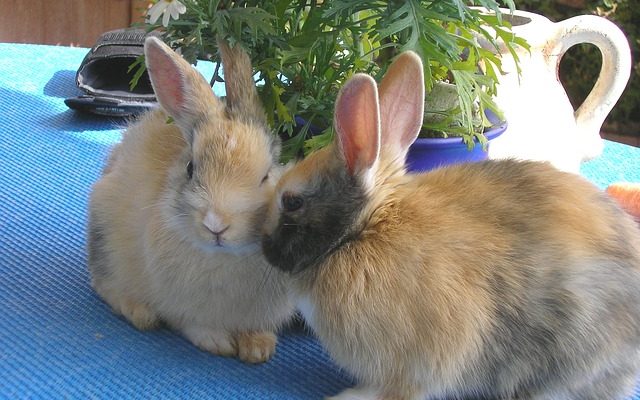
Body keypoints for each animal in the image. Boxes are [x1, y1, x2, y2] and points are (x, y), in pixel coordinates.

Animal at [86, 36, 294, 362]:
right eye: (190, 169)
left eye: (266, 176)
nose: (216, 224)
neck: (225, 257)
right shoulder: (183, 309)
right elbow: (194, 325)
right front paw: (217, 343)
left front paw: (258, 348)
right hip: (103, 237)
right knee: (104, 284)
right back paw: (140, 312)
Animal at [262, 51, 640, 398]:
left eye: (291, 202)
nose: (264, 248)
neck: (364, 230)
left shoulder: (414, 366)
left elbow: (395, 389)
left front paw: (348, 396)